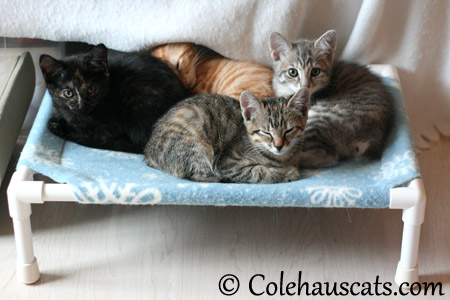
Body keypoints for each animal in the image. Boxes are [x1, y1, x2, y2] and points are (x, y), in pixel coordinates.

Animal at [39, 43, 189, 154]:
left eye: (92, 89)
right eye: (68, 93)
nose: (82, 106)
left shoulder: (108, 130)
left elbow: (84, 131)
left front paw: (59, 125)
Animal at [142, 89, 312, 183]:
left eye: (289, 130)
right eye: (266, 132)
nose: (278, 146)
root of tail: (148, 152)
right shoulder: (227, 164)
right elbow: (258, 171)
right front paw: (288, 172)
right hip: (195, 142)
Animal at [268, 29, 392, 169]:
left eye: (315, 71)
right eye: (292, 72)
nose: (305, 86)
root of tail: (373, 137)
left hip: (319, 117)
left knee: (328, 157)